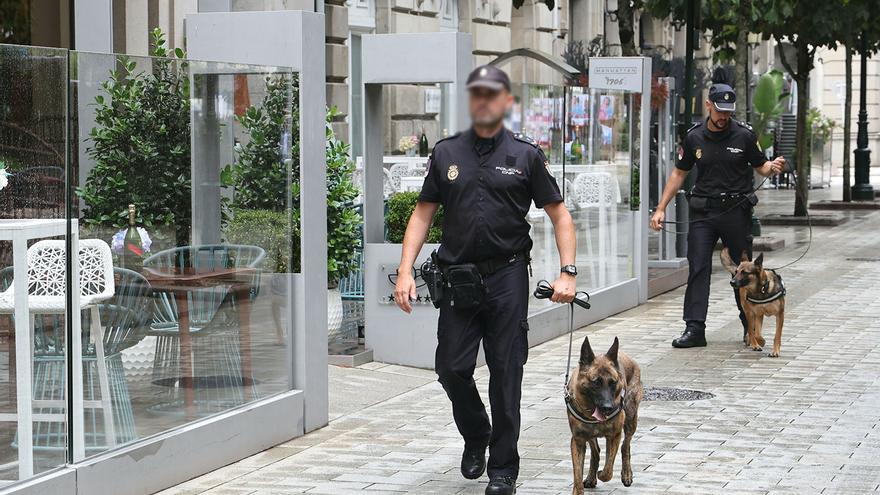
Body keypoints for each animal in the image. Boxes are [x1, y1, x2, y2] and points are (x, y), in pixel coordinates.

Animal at [568, 336, 644, 494]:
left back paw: (626, 474)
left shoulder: (614, 436)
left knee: (625, 446)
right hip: (590, 436)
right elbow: (577, 474)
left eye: (613, 382)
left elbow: (608, 470)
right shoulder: (578, 441)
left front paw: (601, 474)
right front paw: (579, 488)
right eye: (596, 382)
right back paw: (591, 478)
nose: (608, 408)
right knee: (596, 452)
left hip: (630, 418)